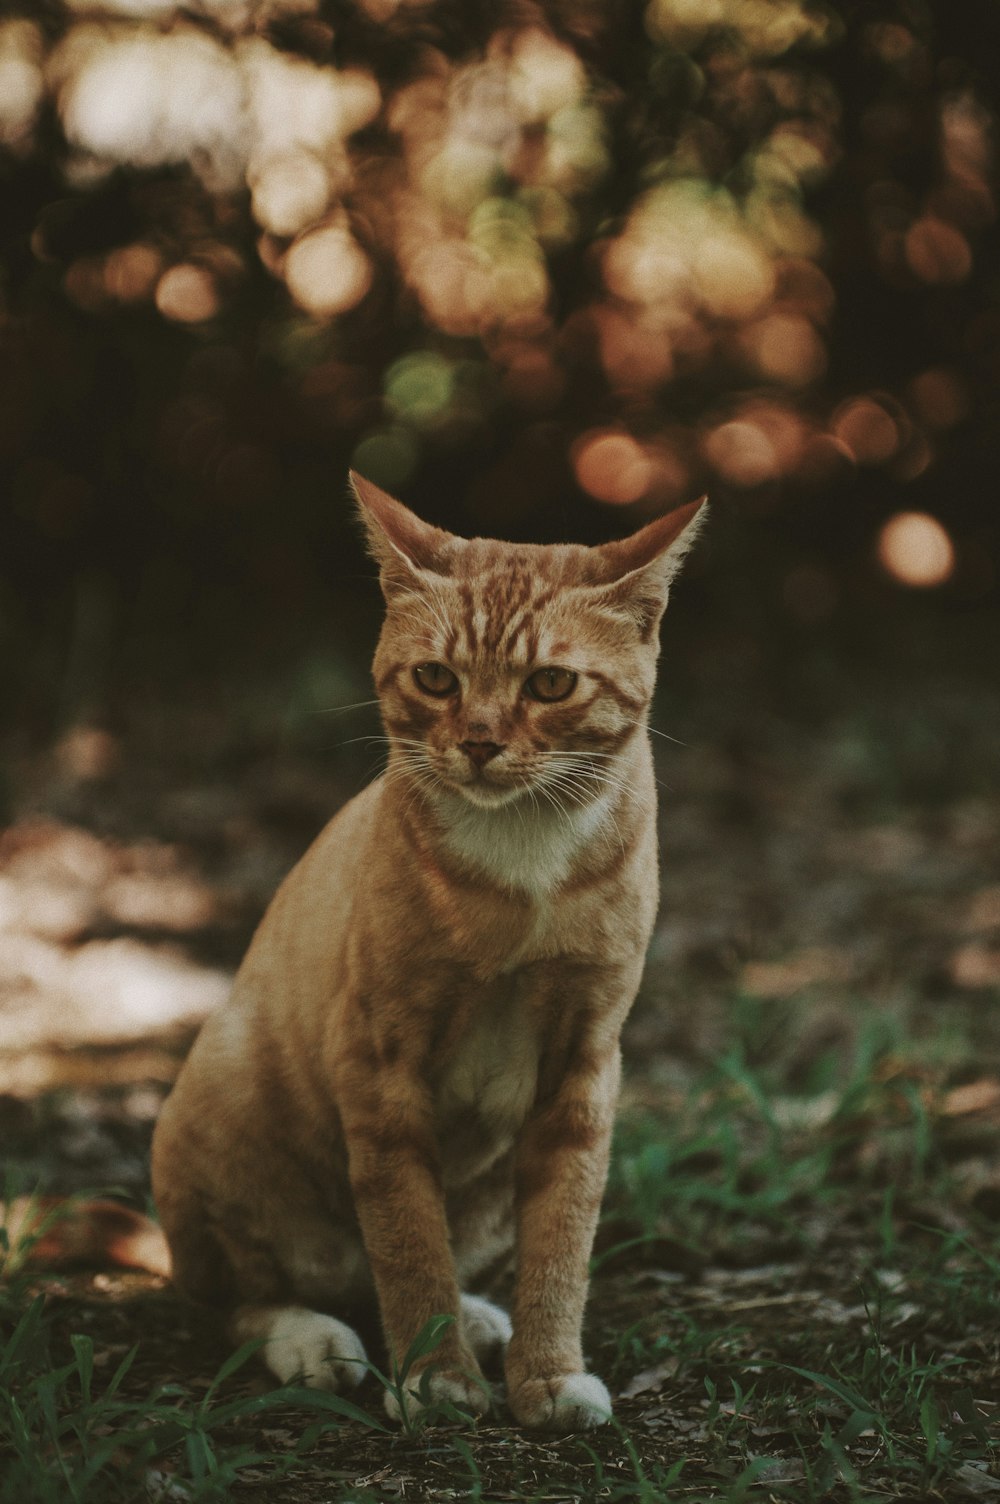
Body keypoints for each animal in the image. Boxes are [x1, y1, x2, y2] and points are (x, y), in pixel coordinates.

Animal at [151, 472, 706, 1431]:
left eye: (551, 683)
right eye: (436, 677)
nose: (479, 741)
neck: (520, 863)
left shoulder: (584, 1063)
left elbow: (562, 1237)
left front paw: (546, 1372)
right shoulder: (380, 1060)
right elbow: (408, 1239)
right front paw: (435, 1378)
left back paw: (484, 1318)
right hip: (217, 1108)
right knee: (244, 1297)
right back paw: (316, 1338)